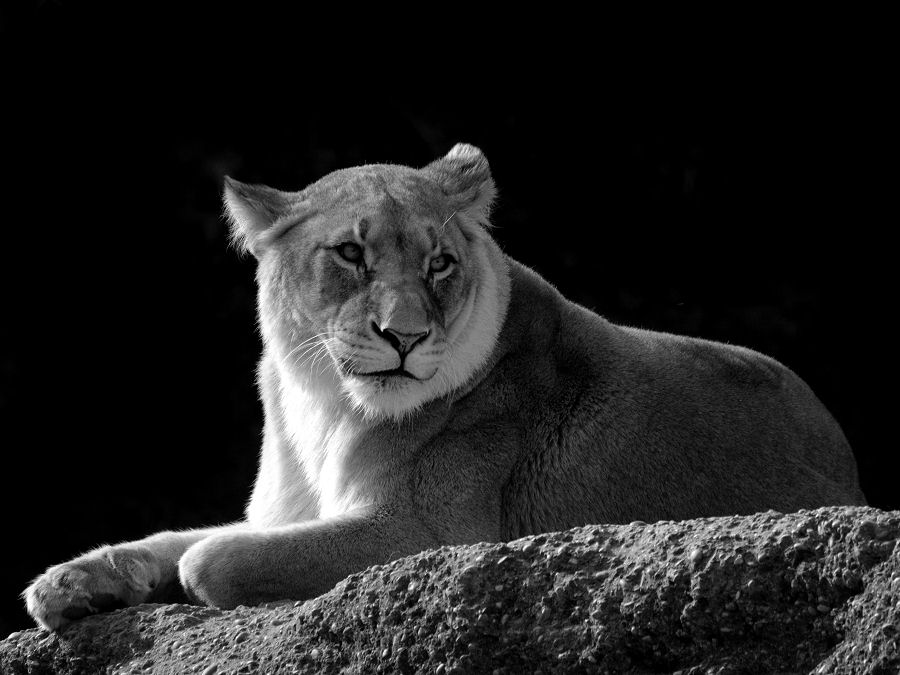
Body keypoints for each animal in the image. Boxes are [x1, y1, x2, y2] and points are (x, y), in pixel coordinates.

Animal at [24, 143, 866, 631]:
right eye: (351, 253)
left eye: (439, 264)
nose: (405, 336)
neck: (322, 402)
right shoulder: (279, 510)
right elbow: (172, 539)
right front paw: (68, 583)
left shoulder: (430, 534)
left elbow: (210, 557)